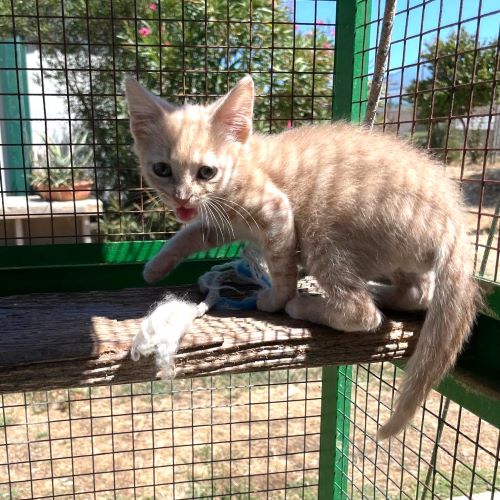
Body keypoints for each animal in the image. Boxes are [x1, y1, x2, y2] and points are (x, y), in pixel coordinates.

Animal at [124, 75, 480, 439]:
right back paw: (382, 292)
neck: (244, 162)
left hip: (322, 231)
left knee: (363, 312)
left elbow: (281, 267)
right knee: (418, 294)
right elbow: (191, 234)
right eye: (162, 169)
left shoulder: (277, 212)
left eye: (206, 172)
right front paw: (155, 267)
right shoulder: (222, 222)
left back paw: (306, 306)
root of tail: (452, 219)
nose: (181, 197)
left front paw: (276, 300)